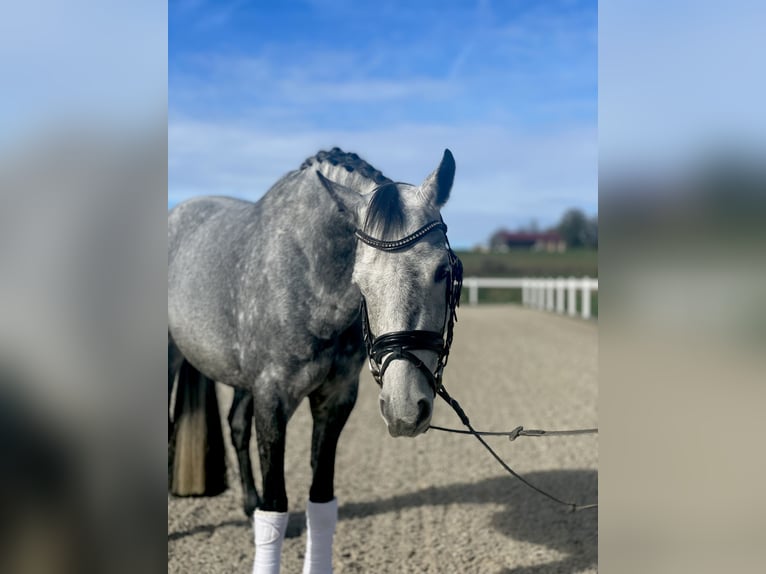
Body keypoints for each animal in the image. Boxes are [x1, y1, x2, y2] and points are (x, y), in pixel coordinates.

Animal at [167, 150, 462, 574]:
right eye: (361, 281)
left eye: (443, 270)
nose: (406, 409)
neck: (309, 274)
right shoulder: (273, 399)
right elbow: (276, 505)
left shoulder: (335, 400)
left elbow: (321, 502)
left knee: (236, 426)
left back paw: (247, 505)